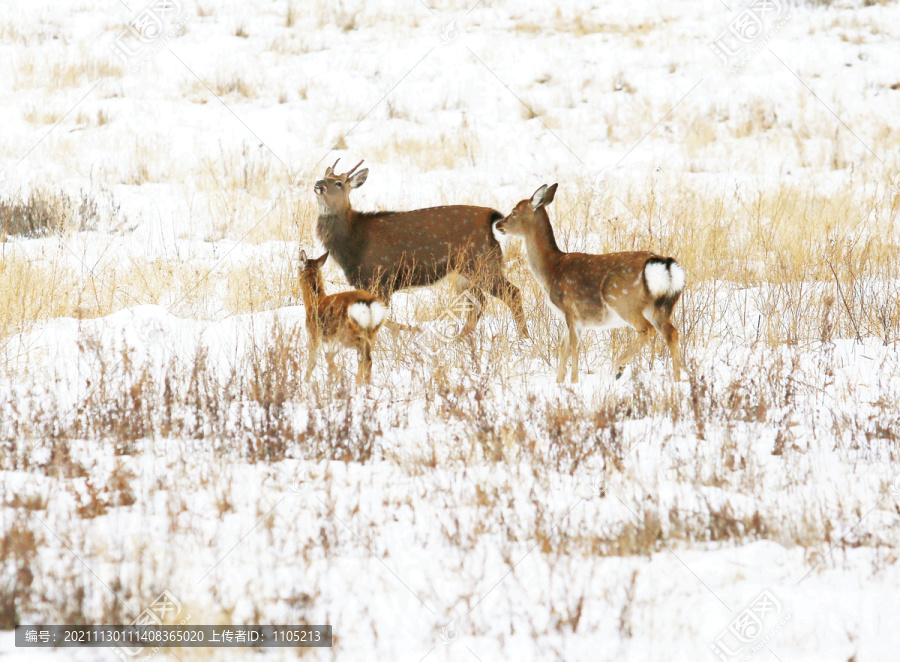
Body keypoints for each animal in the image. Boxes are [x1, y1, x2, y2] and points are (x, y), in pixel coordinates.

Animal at [298, 250, 384, 386]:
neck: (314, 301)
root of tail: (369, 303)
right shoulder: (331, 339)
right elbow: (328, 356)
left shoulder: (314, 332)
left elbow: (313, 360)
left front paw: (305, 381)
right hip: (372, 331)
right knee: (368, 358)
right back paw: (365, 383)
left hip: (347, 331)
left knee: (362, 356)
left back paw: (358, 383)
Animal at [314, 160, 528, 338]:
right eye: (325, 176)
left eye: (339, 183)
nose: (319, 184)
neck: (352, 244)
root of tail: (491, 219)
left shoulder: (381, 278)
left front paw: (412, 330)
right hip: (465, 272)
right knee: (478, 303)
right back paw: (462, 338)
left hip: (483, 263)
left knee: (512, 292)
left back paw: (523, 336)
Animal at [496, 185, 684, 384]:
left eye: (514, 212)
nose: (499, 224)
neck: (551, 270)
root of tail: (665, 265)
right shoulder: (568, 317)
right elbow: (563, 349)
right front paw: (559, 382)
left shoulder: (570, 310)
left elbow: (573, 347)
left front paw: (573, 382)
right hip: (662, 306)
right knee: (672, 333)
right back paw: (677, 380)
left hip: (622, 299)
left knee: (647, 329)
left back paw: (619, 367)